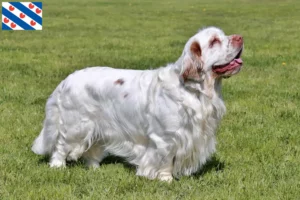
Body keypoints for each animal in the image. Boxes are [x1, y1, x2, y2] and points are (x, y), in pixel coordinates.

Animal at [32, 27, 244, 183]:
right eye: (214, 41)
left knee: (92, 149)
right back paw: (57, 166)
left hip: (99, 127)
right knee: (60, 145)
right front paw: (166, 180)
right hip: (76, 126)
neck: (194, 90)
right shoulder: (166, 138)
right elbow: (166, 160)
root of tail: (66, 81)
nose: (240, 38)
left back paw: (95, 169)